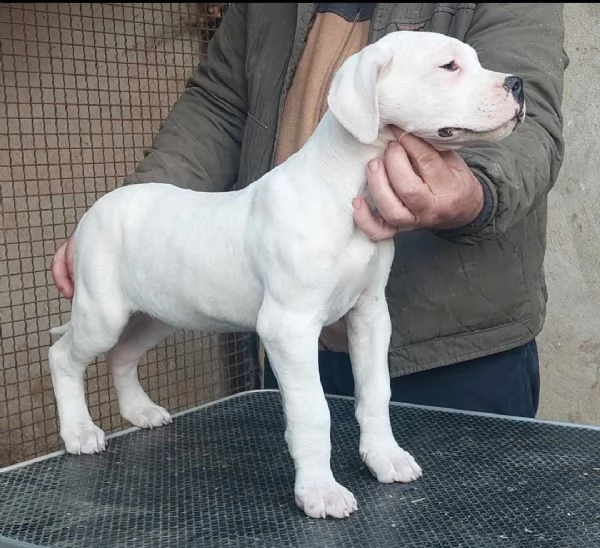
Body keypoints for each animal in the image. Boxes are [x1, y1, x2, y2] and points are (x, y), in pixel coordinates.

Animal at [48, 30, 524, 520]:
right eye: (449, 66)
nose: (518, 84)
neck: (345, 189)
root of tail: (97, 209)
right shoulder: (288, 327)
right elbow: (313, 412)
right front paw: (320, 492)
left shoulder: (370, 313)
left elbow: (376, 391)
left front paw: (384, 457)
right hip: (102, 312)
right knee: (63, 355)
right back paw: (79, 431)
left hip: (154, 315)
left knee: (122, 356)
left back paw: (140, 411)